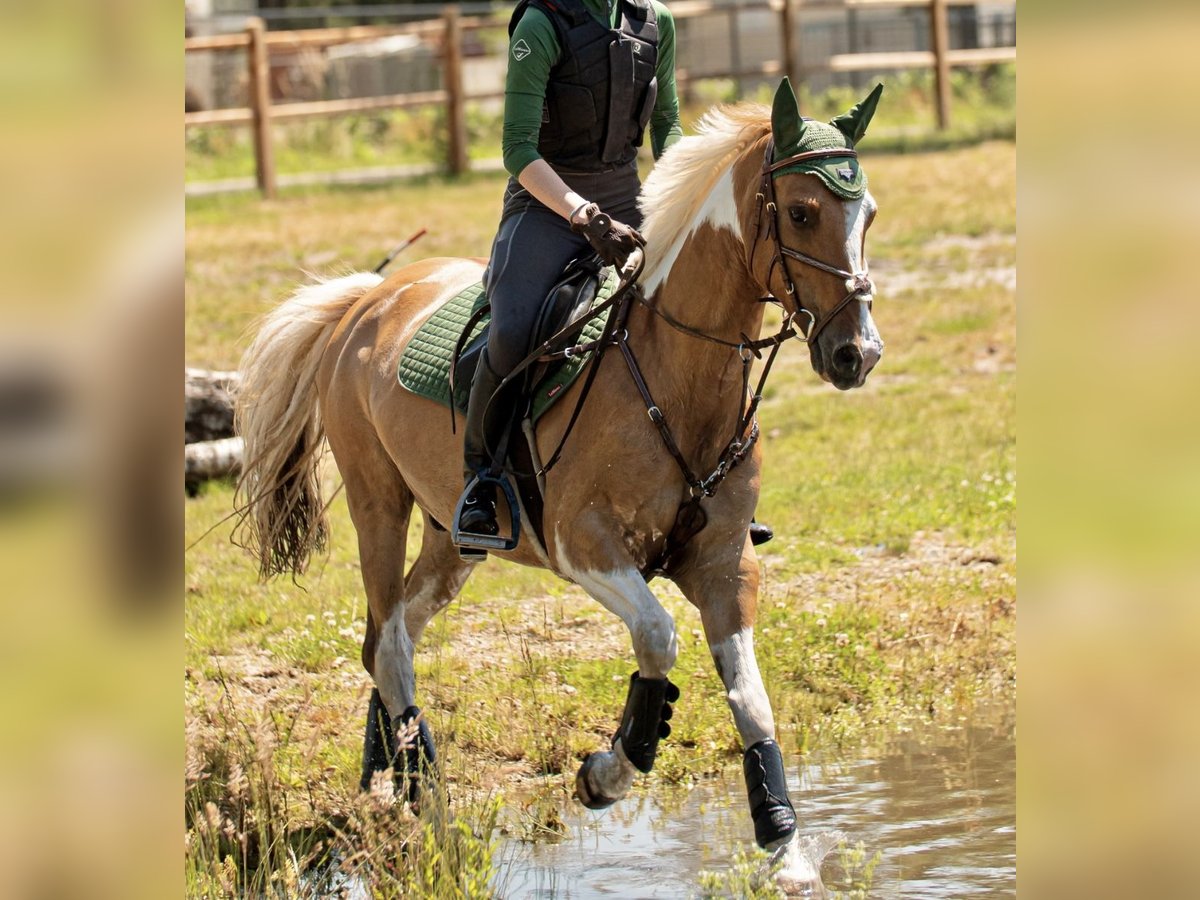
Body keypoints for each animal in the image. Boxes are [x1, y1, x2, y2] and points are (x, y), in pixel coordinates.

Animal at [238, 79, 888, 888]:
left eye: (868, 214)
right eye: (800, 211)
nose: (857, 353)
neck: (676, 373)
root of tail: (367, 299)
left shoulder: (727, 564)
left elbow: (753, 702)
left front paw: (787, 850)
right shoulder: (584, 543)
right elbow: (657, 637)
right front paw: (613, 767)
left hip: (452, 542)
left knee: (385, 640)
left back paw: (390, 781)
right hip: (376, 503)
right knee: (389, 646)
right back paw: (436, 825)